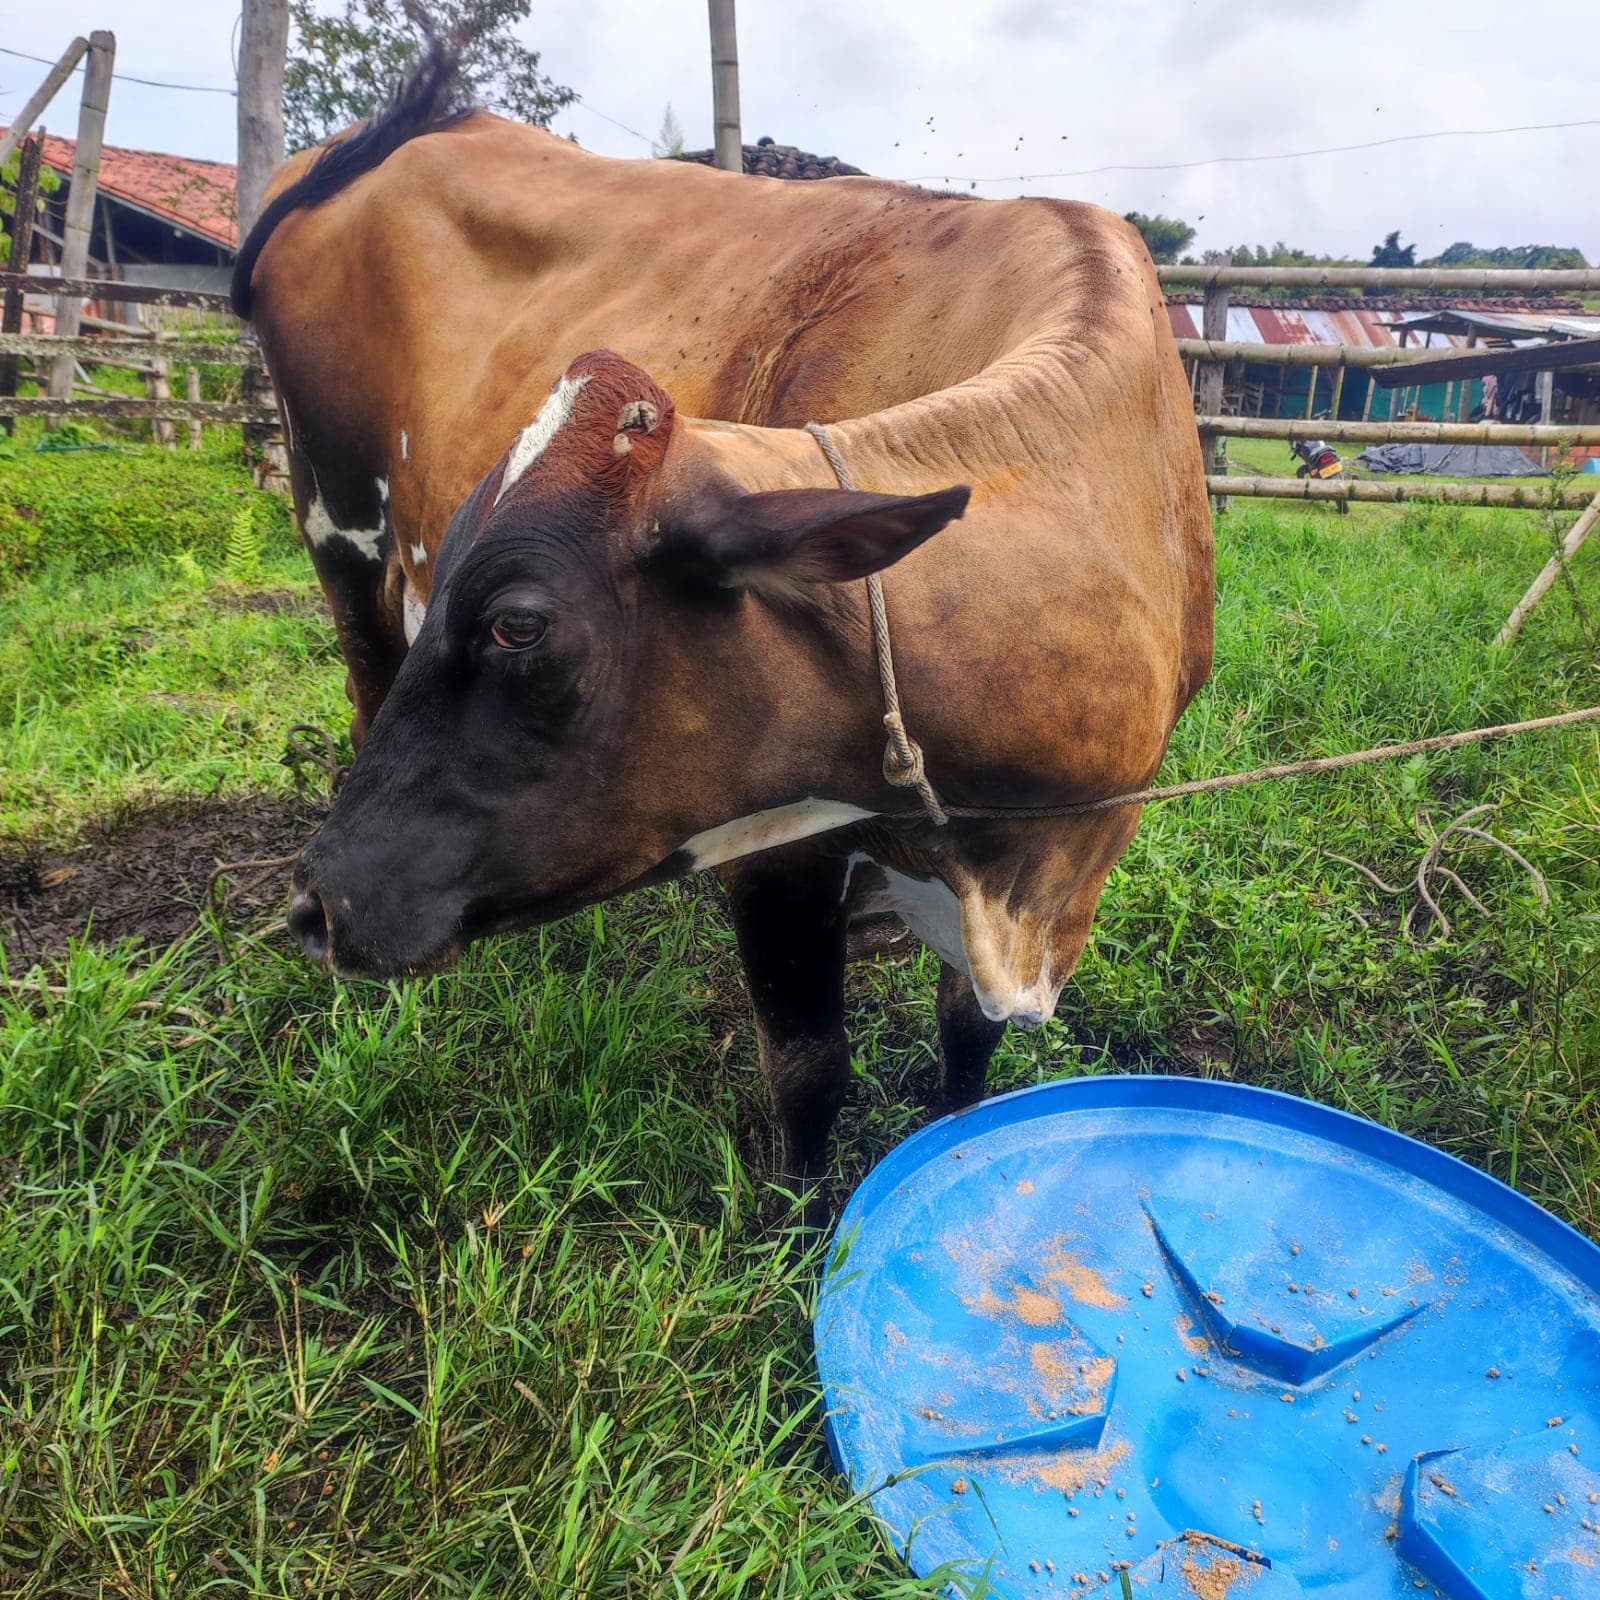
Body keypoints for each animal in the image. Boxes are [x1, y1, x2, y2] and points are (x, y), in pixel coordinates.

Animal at [234, 42, 1213, 1194]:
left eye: (518, 627)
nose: (319, 903)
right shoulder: (774, 844)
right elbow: (808, 1066)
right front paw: (797, 1221)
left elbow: (967, 1045)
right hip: (336, 515)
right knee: (364, 681)